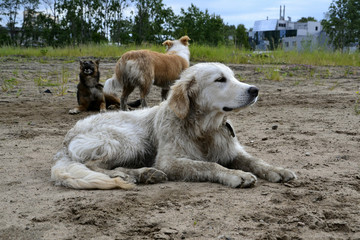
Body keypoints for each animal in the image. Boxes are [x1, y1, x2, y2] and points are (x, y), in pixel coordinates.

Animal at [51, 62, 296, 189]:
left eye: (233, 77)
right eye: (220, 80)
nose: (255, 90)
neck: (203, 128)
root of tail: (67, 138)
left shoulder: (231, 151)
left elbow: (256, 161)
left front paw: (278, 170)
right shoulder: (169, 162)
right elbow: (209, 165)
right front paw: (236, 174)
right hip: (130, 141)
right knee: (93, 165)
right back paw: (138, 174)